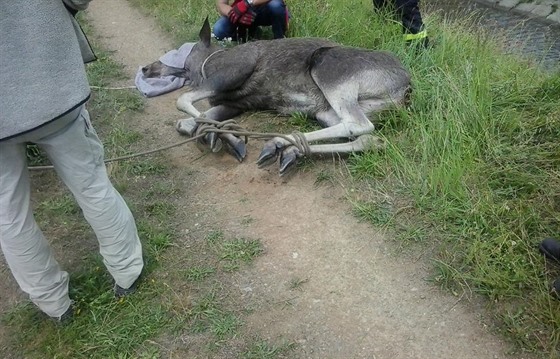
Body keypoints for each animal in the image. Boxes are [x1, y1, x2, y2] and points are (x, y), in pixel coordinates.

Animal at [172, 18, 412, 176]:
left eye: (186, 65)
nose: (183, 74)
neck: (209, 61)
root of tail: (406, 90)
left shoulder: (233, 71)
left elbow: (184, 102)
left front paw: (228, 138)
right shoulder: (236, 103)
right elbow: (199, 118)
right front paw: (215, 133)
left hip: (327, 68)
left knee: (358, 124)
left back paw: (278, 142)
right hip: (330, 112)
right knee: (368, 138)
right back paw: (291, 150)